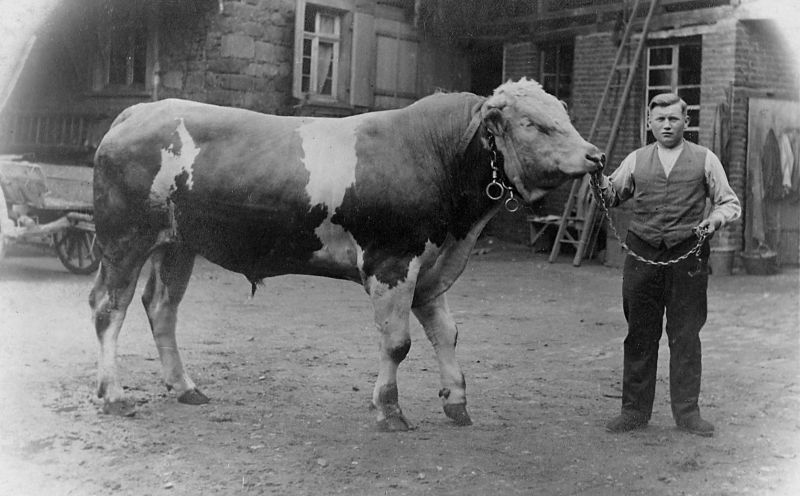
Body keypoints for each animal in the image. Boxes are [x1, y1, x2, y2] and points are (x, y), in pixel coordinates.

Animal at [90, 78, 604, 430]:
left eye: (563, 115)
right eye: (533, 124)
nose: (596, 156)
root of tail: (139, 110)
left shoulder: (430, 268)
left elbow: (447, 334)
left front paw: (456, 401)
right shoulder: (391, 262)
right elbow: (398, 343)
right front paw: (390, 410)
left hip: (176, 246)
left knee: (161, 308)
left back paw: (185, 387)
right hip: (125, 239)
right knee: (108, 308)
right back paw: (114, 395)